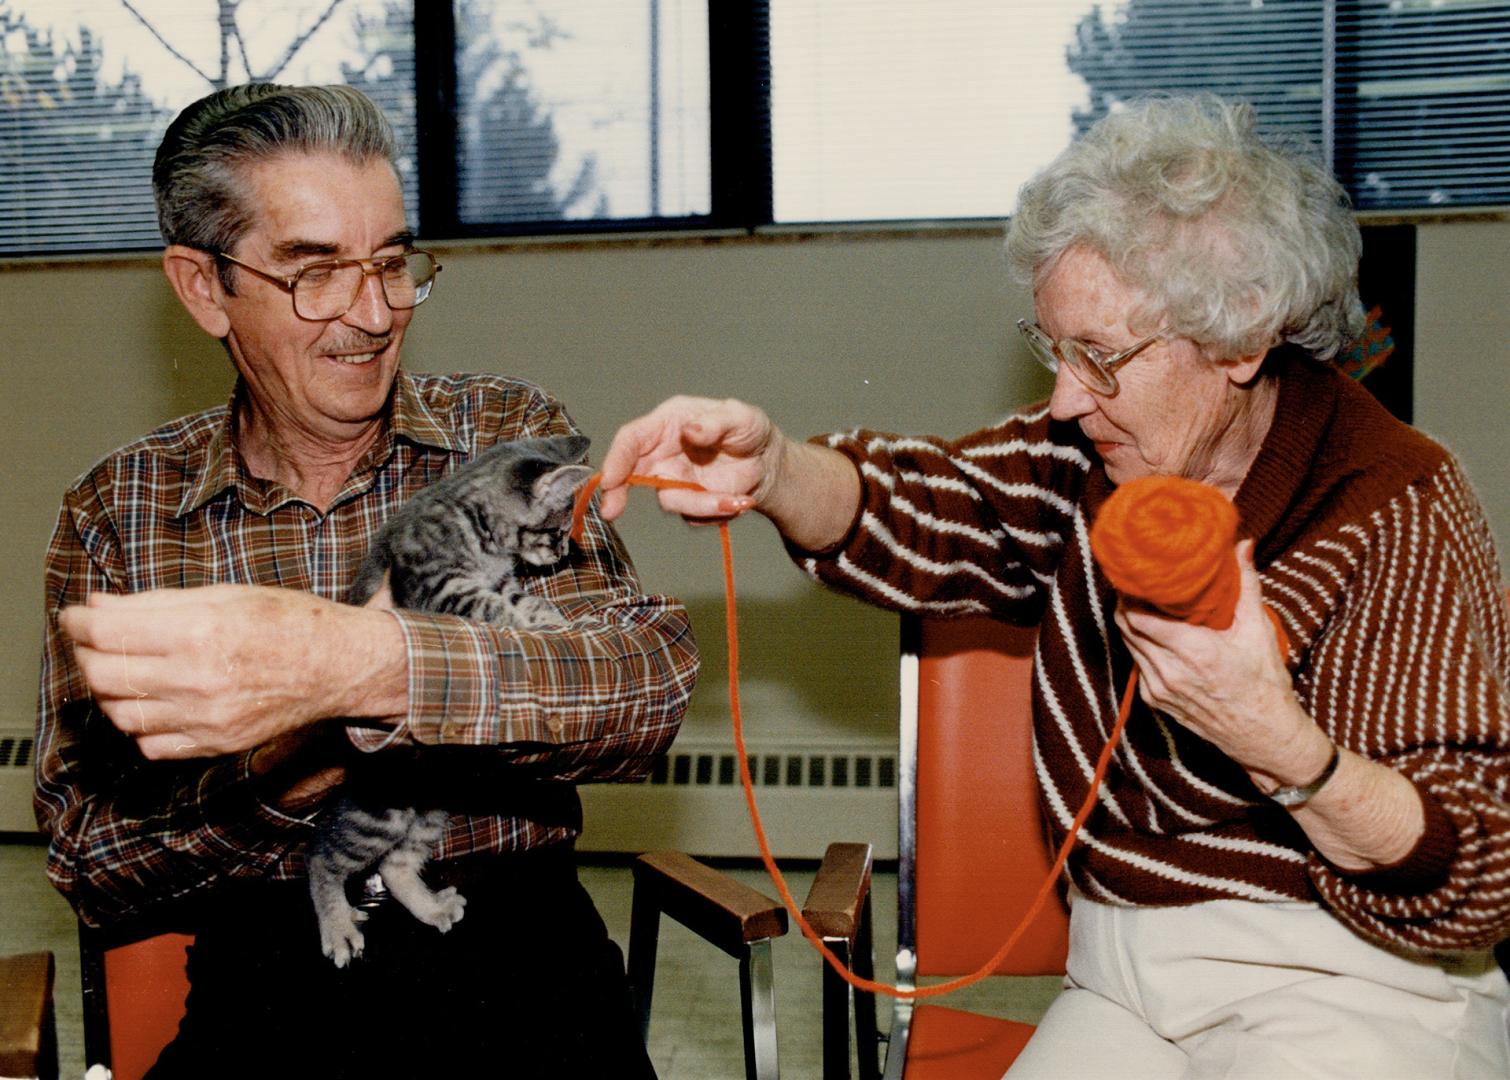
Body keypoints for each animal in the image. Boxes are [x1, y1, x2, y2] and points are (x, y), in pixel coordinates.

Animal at [311, 435, 594, 966]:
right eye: (557, 529)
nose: (565, 550)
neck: (477, 528)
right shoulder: (439, 586)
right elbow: (497, 610)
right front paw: (553, 629)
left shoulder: (499, 581)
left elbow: (524, 600)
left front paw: (559, 618)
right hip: (379, 807)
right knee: (321, 855)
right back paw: (336, 924)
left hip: (431, 802)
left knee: (398, 863)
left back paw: (428, 907)